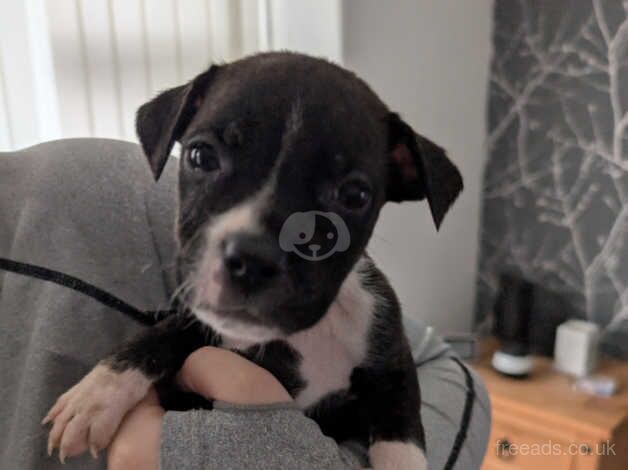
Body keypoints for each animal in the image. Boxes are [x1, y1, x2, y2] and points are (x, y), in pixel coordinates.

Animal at [44, 49, 464, 468]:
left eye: (354, 196)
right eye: (200, 156)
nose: (255, 259)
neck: (309, 336)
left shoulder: (393, 369)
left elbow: (401, 440)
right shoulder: (198, 322)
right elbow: (161, 335)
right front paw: (97, 396)